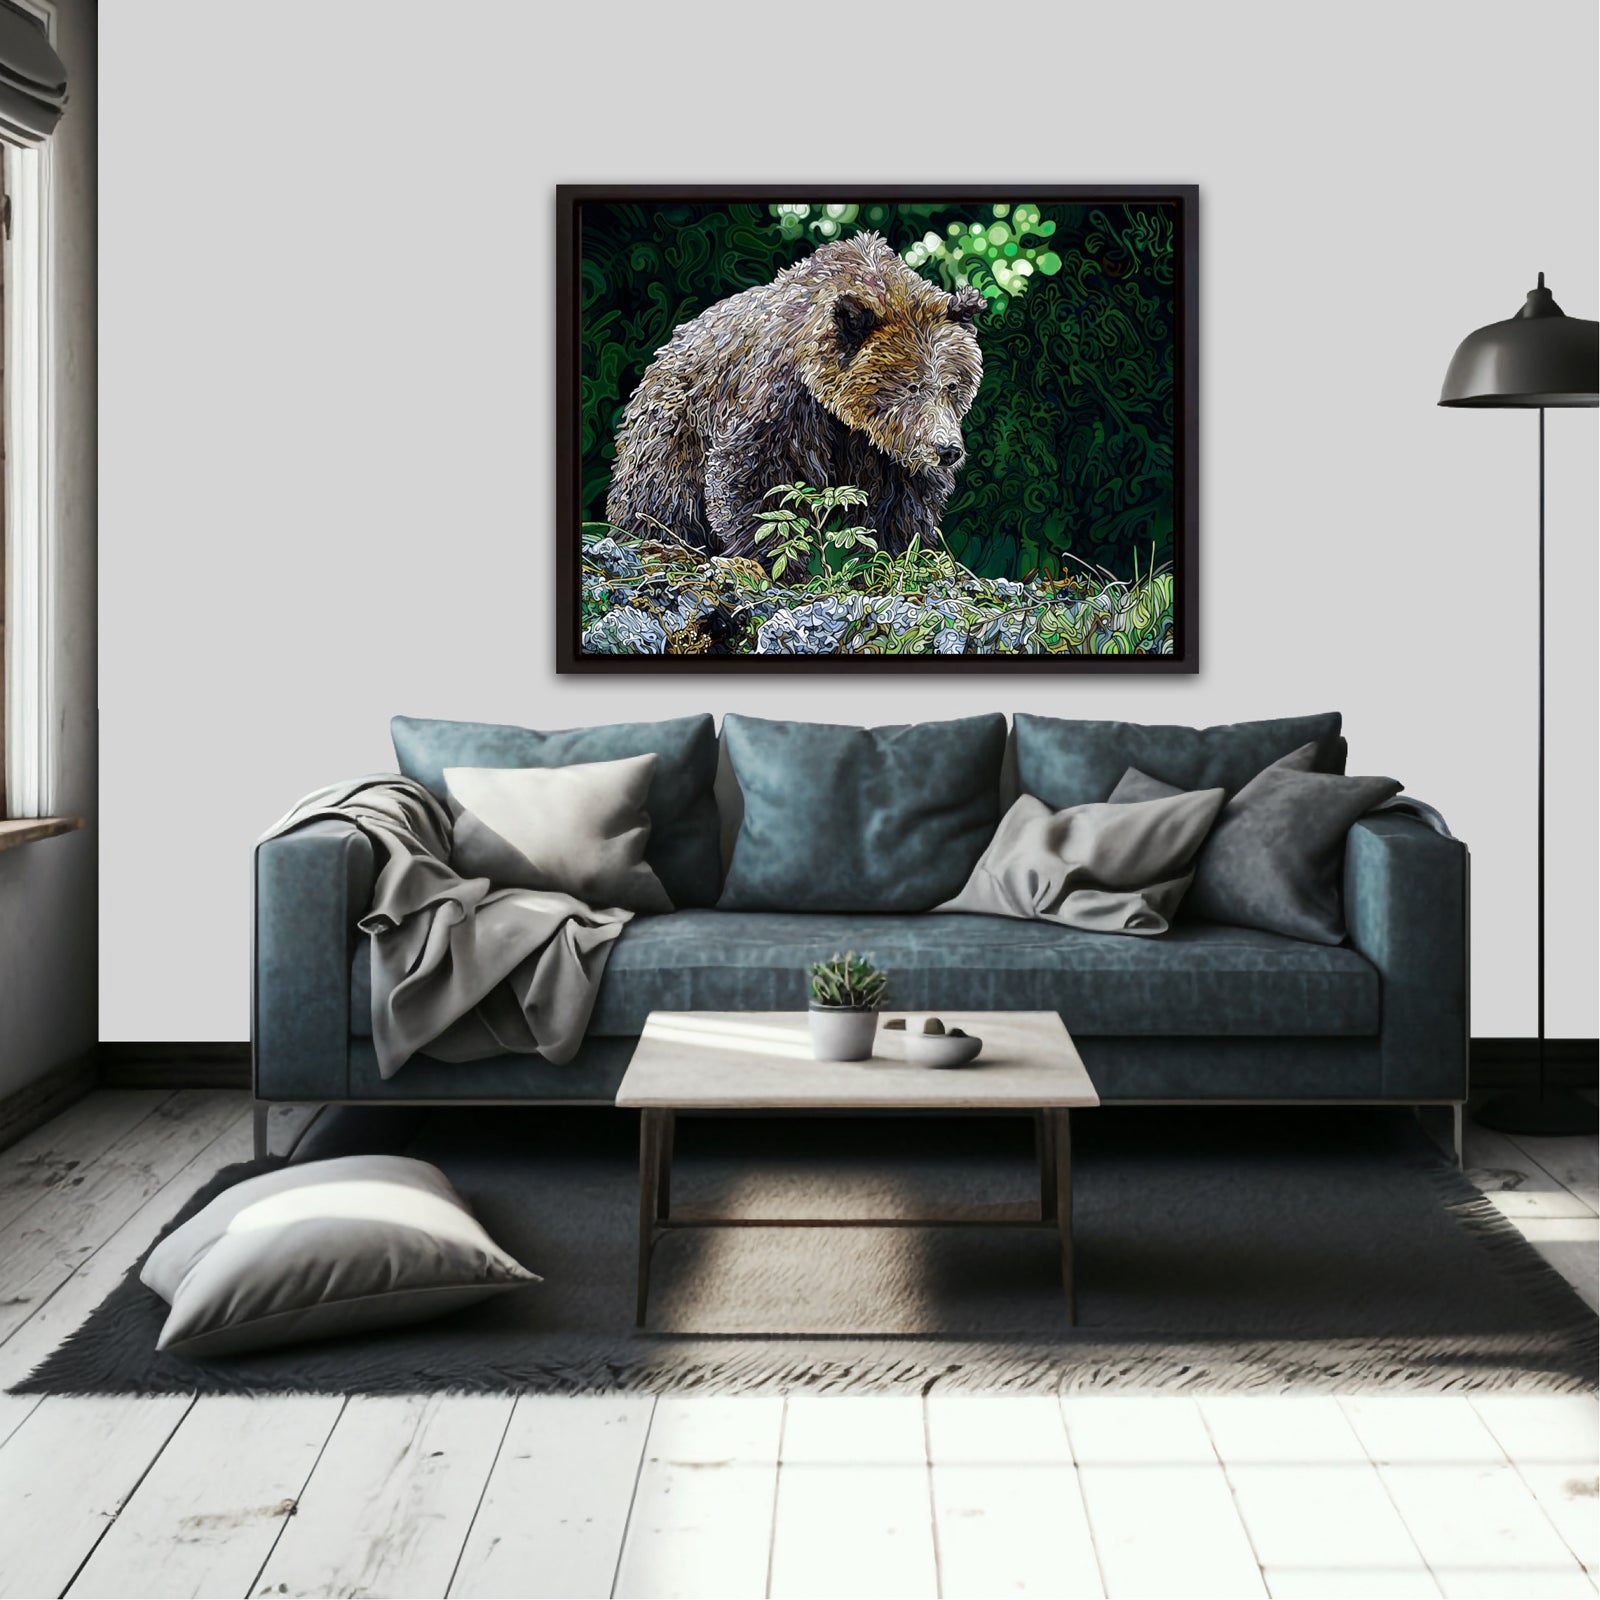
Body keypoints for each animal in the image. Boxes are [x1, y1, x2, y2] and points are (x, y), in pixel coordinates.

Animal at [604, 231, 984, 565]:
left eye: (952, 386)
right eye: (910, 386)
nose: (947, 450)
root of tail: (665, 350)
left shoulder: (885, 449)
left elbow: (900, 500)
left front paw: (889, 558)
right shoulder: (784, 400)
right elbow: (760, 477)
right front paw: (779, 562)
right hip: (674, 425)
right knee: (660, 495)